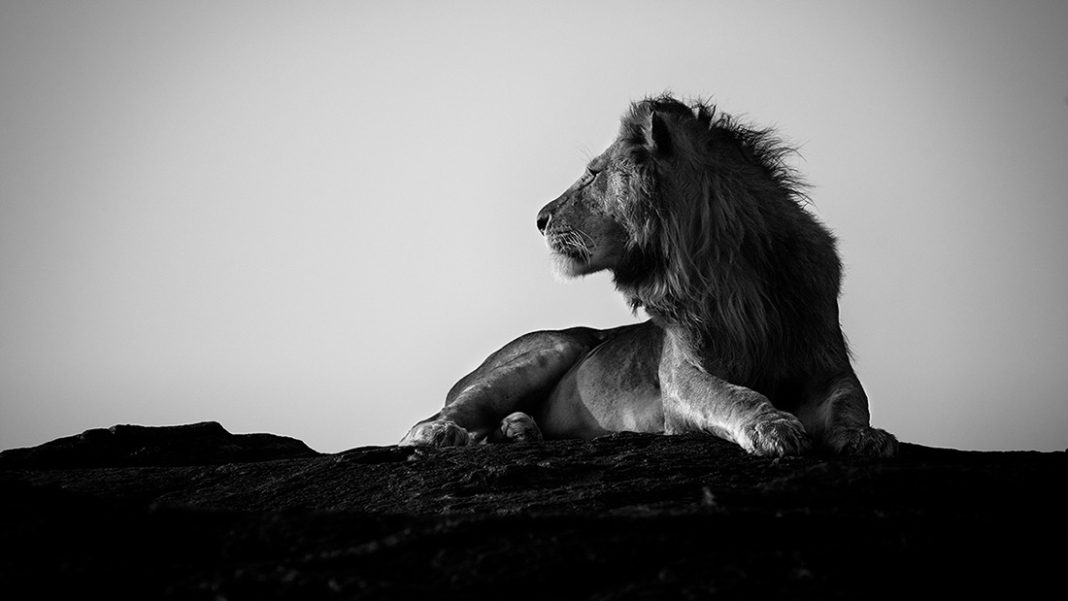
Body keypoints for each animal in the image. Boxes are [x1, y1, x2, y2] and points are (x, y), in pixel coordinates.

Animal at [401, 95, 898, 457]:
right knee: (438, 417)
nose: (539, 219)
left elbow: (852, 401)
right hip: (555, 346)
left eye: (593, 174)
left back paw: (519, 429)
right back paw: (439, 435)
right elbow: (733, 396)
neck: (731, 276)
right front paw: (773, 426)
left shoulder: (827, 362)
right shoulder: (680, 379)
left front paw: (865, 438)